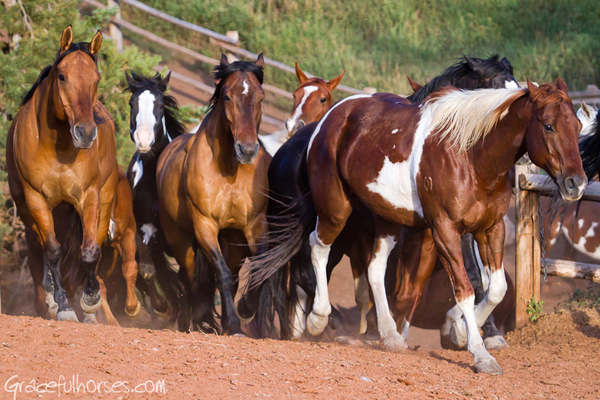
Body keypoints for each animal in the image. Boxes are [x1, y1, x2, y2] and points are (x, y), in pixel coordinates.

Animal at [6, 26, 119, 322]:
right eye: (62, 76)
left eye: (96, 78)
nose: (86, 133)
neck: (56, 146)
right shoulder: (36, 199)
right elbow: (53, 251)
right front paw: (64, 306)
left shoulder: (88, 197)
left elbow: (89, 251)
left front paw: (89, 300)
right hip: (32, 215)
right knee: (43, 248)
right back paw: (51, 297)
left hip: (104, 203)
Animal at [124, 72, 188, 326]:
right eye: (132, 103)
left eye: (160, 105)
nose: (143, 140)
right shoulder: (142, 228)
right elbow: (147, 270)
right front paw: (161, 308)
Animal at [157, 54, 270, 334]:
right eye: (227, 97)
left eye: (261, 97)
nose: (247, 150)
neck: (229, 169)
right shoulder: (205, 225)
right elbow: (222, 274)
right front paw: (233, 324)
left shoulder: (254, 225)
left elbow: (259, 269)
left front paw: (245, 310)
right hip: (181, 241)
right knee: (187, 279)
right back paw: (188, 321)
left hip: (233, 244)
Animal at [240, 54, 520, 348]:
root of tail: (287, 152)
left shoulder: (438, 236)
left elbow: (458, 281)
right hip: (332, 226)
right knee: (307, 272)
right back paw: (326, 323)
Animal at [251, 79, 588, 374]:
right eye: (548, 125)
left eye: (578, 125)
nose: (577, 183)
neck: (471, 157)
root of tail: (332, 116)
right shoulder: (444, 231)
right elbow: (464, 290)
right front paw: (480, 355)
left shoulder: (490, 229)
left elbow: (496, 290)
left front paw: (459, 331)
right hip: (335, 209)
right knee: (318, 248)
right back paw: (318, 320)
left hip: (388, 219)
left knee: (374, 269)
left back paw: (389, 336)